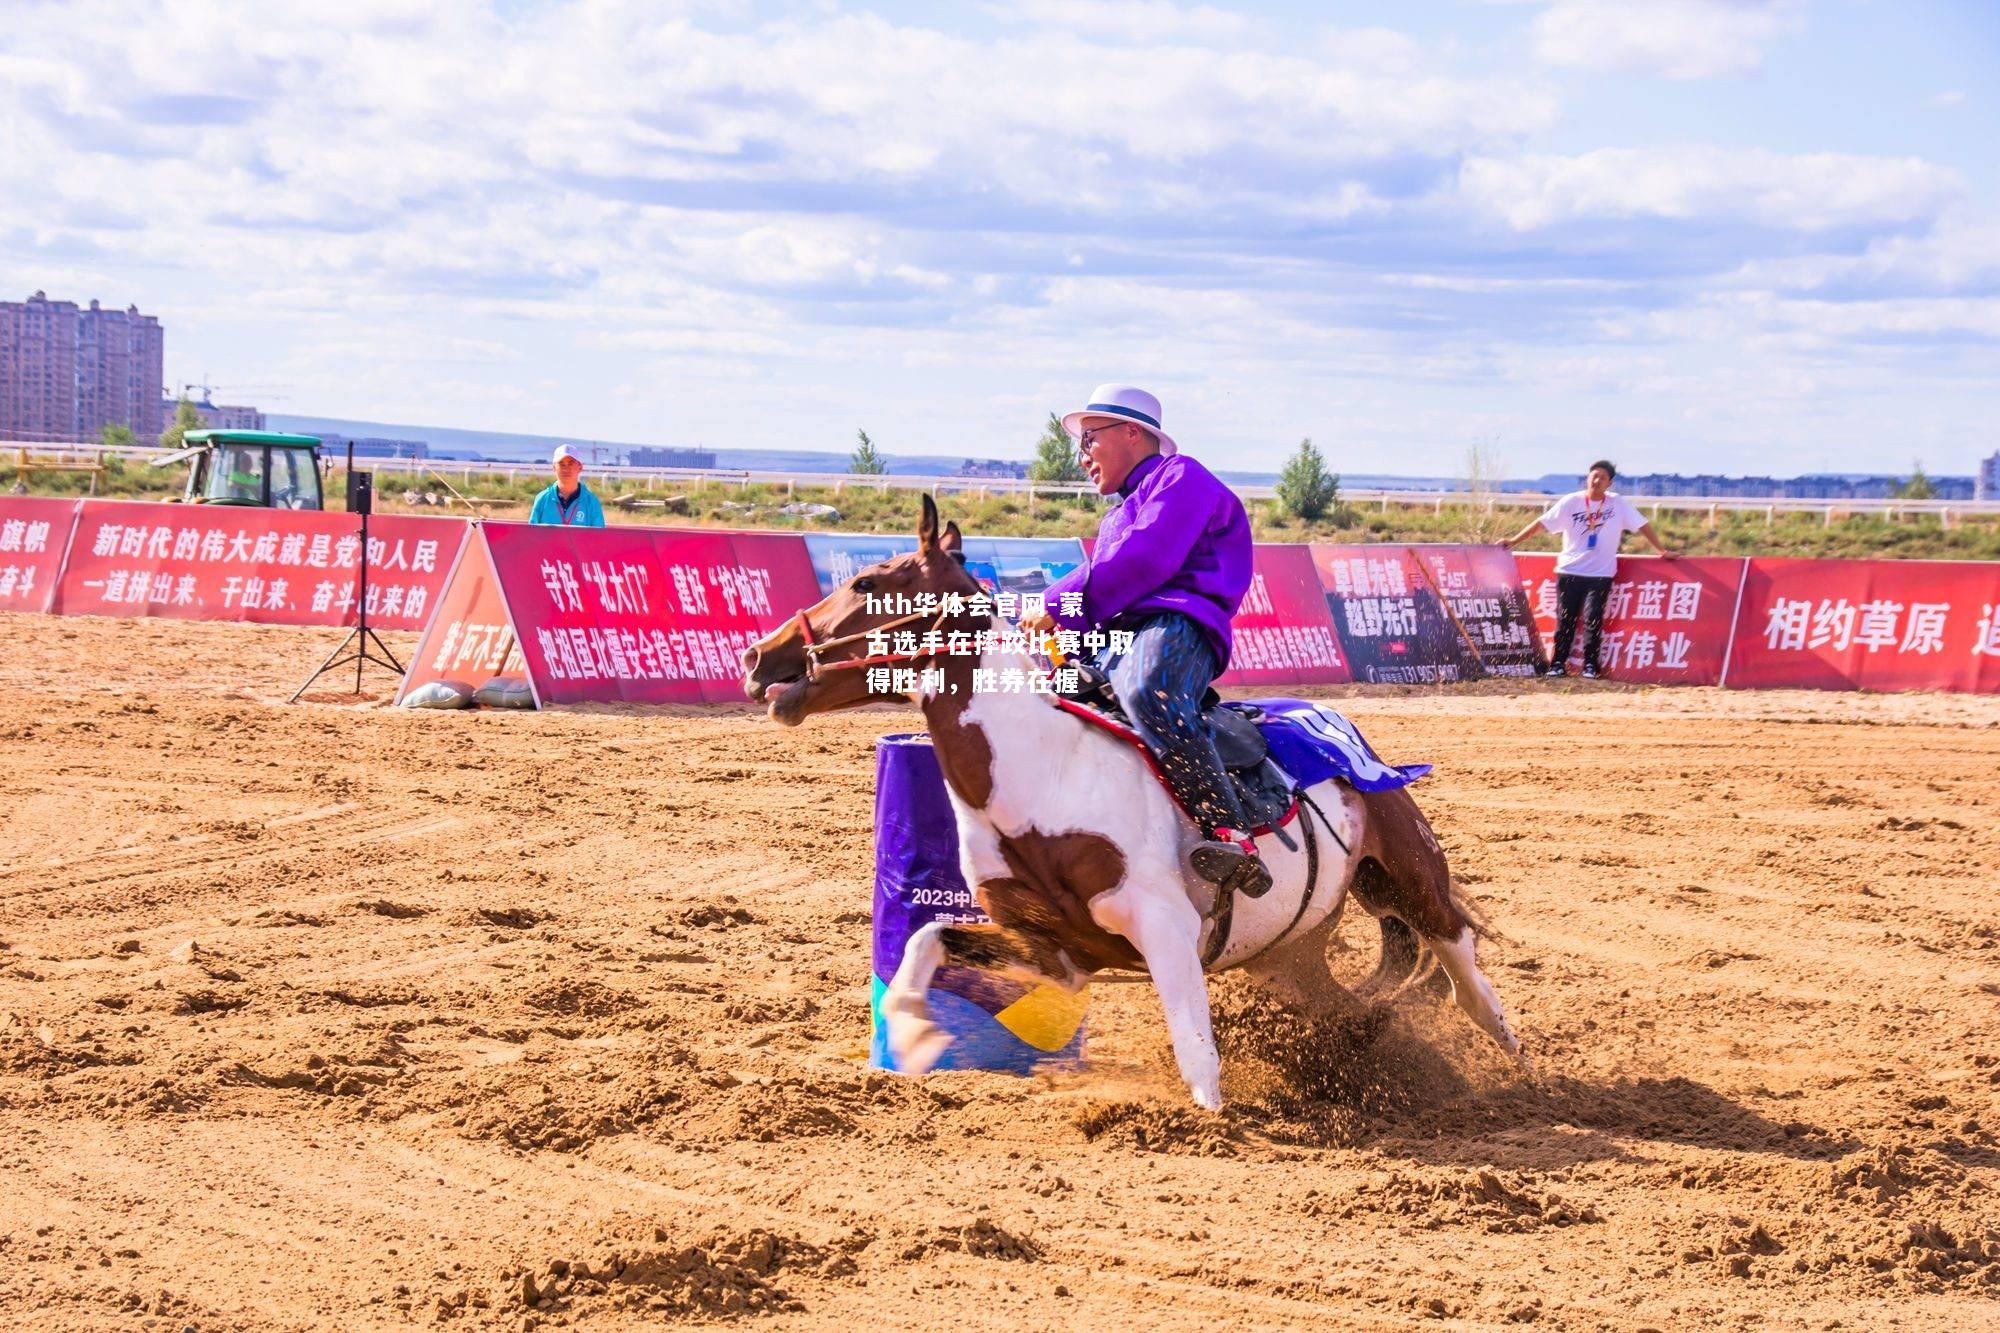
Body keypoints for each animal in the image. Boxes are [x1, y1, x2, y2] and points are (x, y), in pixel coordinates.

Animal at [744, 492, 1520, 1104]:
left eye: (868, 580)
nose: (759, 656)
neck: (1042, 775)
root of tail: (1348, 736)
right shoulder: (1053, 949)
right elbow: (927, 939)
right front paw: (911, 1033)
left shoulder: (1164, 926)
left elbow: (1195, 1046)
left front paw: (1212, 1122)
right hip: (1288, 958)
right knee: (1352, 1005)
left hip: (1410, 870)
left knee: (1459, 955)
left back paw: (1514, 1057)